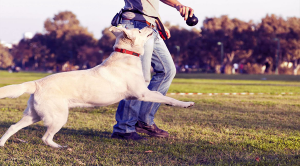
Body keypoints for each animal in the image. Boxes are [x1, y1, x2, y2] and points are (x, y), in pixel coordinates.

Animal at [0, 26, 193, 148]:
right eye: (139, 30)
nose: (151, 26)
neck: (126, 56)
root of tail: (36, 83)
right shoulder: (143, 94)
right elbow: (166, 97)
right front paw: (186, 104)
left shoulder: (138, 95)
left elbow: (161, 97)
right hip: (58, 117)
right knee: (45, 137)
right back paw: (59, 147)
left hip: (33, 115)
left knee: (13, 127)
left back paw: (2, 144)